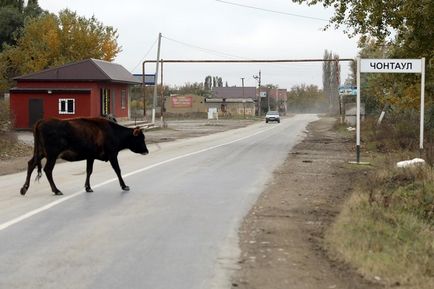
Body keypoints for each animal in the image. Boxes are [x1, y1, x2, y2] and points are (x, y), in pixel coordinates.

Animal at [19, 117, 149, 196]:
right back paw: (56, 190)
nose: (147, 151)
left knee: (31, 164)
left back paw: (24, 189)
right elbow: (117, 170)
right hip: (52, 155)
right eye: (141, 138)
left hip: (40, 153)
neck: (113, 132)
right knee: (47, 170)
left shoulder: (90, 156)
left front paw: (88, 187)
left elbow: (89, 171)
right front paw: (124, 186)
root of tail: (41, 121)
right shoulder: (112, 154)